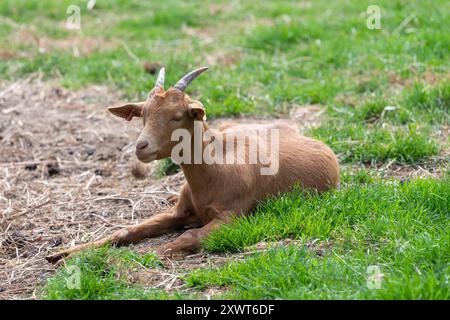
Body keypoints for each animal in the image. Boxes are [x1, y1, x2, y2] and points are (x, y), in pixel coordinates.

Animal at [46, 67, 342, 262]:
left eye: (177, 116)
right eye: (143, 114)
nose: (142, 146)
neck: (212, 172)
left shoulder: (233, 216)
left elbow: (189, 237)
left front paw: (156, 255)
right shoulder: (180, 212)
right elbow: (127, 230)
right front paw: (60, 254)